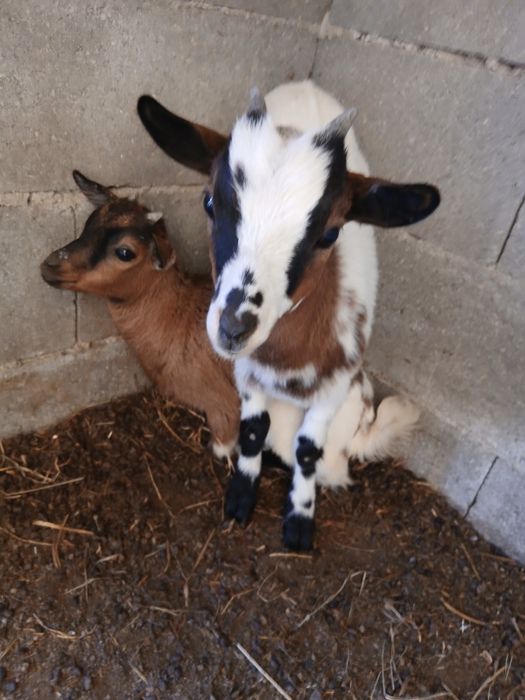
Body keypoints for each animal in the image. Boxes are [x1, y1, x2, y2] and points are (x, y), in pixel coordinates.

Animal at [137, 81, 440, 550]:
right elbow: (252, 430)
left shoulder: (334, 390)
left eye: (330, 233)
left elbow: (307, 450)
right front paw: (241, 497)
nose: (234, 327)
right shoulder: (246, 374)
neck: (286, 366)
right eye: (209, 202)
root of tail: (307, 85)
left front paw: (299, 520)